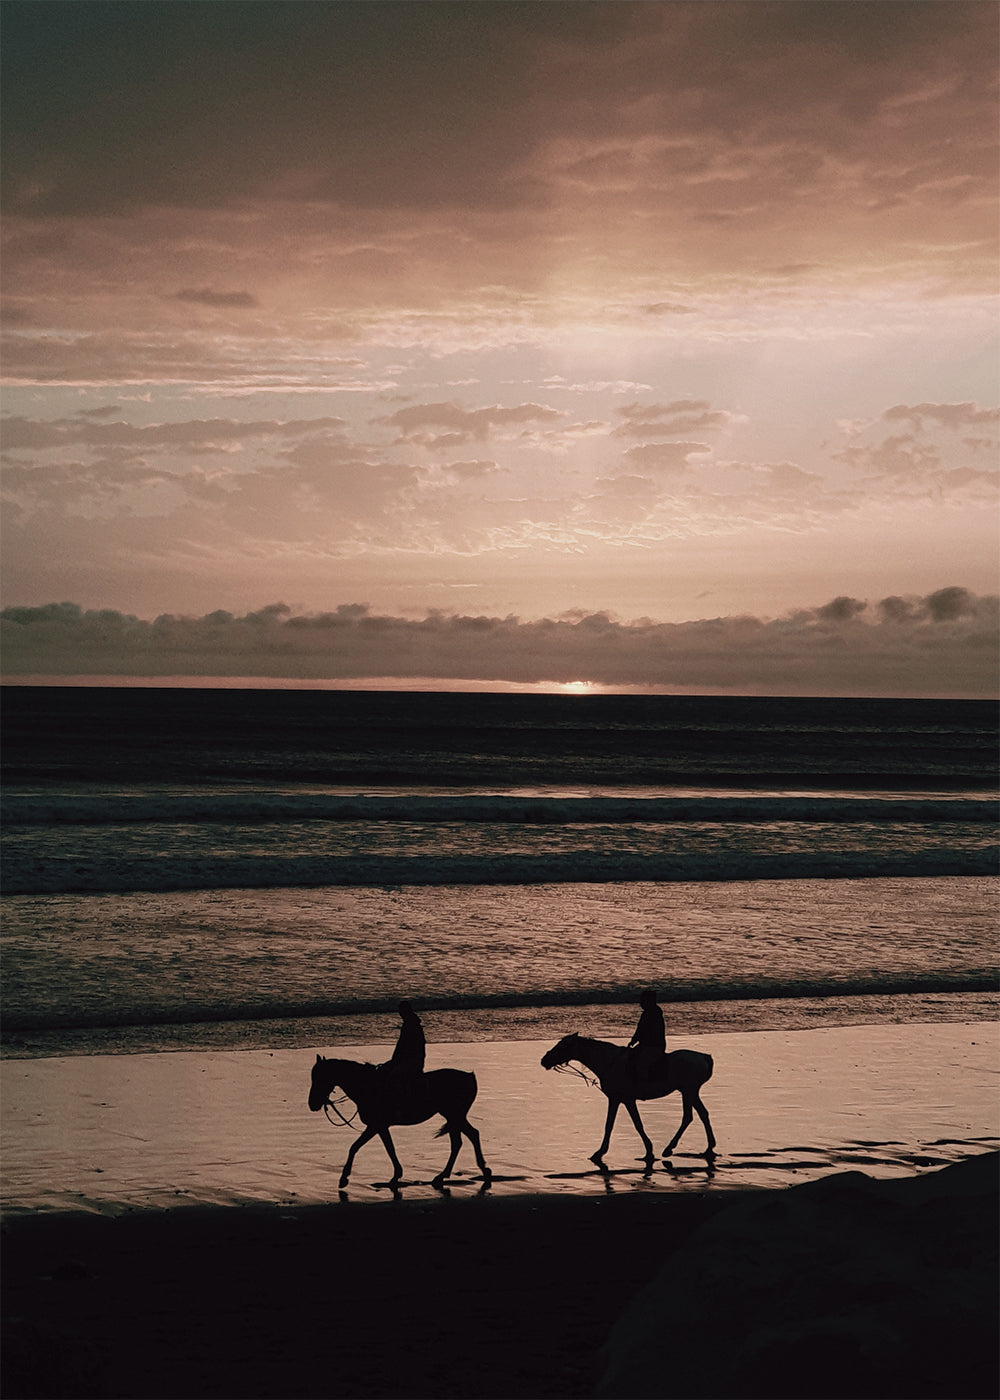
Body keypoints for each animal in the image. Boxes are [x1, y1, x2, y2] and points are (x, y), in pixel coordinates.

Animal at [305, 1052, 490, 1187]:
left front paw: (344, 1178)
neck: (368, 1087)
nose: (312, 1104)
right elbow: (388, 1148)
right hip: (454, 1117)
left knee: (463, 1139)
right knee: (467, 1137)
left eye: (320, 1077)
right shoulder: (380, 1127)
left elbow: (357, 1147)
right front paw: (396, 1175)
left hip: (453, 1115)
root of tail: (469, 1076)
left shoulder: (376, 1126)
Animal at [540, 1036, 711, 1164]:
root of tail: (704, 1057)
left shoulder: (624, 1099)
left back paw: (670, 1149)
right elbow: (613, 1125)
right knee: (701, 1114)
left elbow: (633, 1125)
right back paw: (708, 1148)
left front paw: (648, 1152)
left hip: (688, 1091)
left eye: (562, 1046)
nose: (544, 1060)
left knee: (689, 1116)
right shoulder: (619, 1099)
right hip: (690, 1092)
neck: (608, 1062)